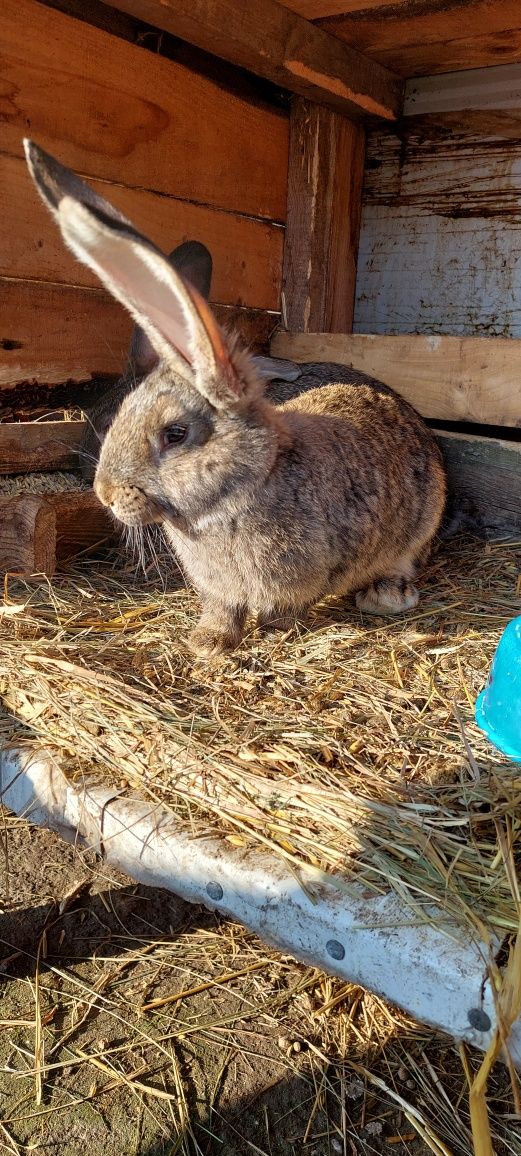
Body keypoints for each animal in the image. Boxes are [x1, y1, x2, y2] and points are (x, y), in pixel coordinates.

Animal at [25, 138, 448, 656]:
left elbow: (290, 605)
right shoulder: (219, 586)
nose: (101, 491)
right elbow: (222, 608)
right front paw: (207, 642)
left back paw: (385, 594)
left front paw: (272, 630)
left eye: (175, 434)